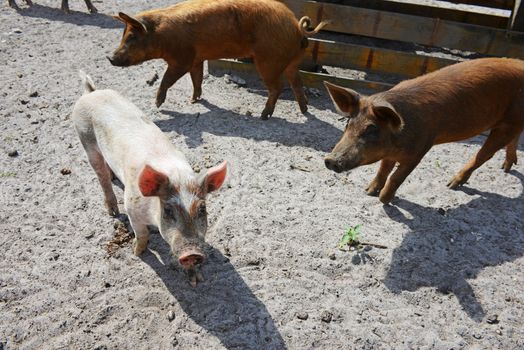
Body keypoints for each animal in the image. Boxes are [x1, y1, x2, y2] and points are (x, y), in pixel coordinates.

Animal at [72, 72, 227, 288]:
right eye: (168, 210)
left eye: (203, 209)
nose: (192, 252)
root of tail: (90, 93)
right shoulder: (132, 208)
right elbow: (142, 234)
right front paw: (136, 252)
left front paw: (195, 280)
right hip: (85, 139)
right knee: (100, 175)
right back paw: (112, 211)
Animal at [107, 0, 328, 119]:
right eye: (123, 35)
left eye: (132, 37)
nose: (109, 57)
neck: (162, 36)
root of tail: (297, 26)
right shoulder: (197, 59)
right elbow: (197, 79)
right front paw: (194, 100)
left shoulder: (182, 59)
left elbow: (167, 79)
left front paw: (157, 104)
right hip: (292, 61)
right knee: (297, 83)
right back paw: (304, 110)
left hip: (268, 60)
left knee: (278, 87)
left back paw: (264, 116)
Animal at [324, 58, 524, 204]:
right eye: (348, 123)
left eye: (371, 129)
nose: (330, 160)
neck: (399, 139)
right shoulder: (389, 152)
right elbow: (383, 169)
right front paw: (368, 191)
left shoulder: (421, 149)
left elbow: (397, 177)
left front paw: (385, 200)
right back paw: (506, 168)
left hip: (508, 124)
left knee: (484, 155)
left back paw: (451, 185)